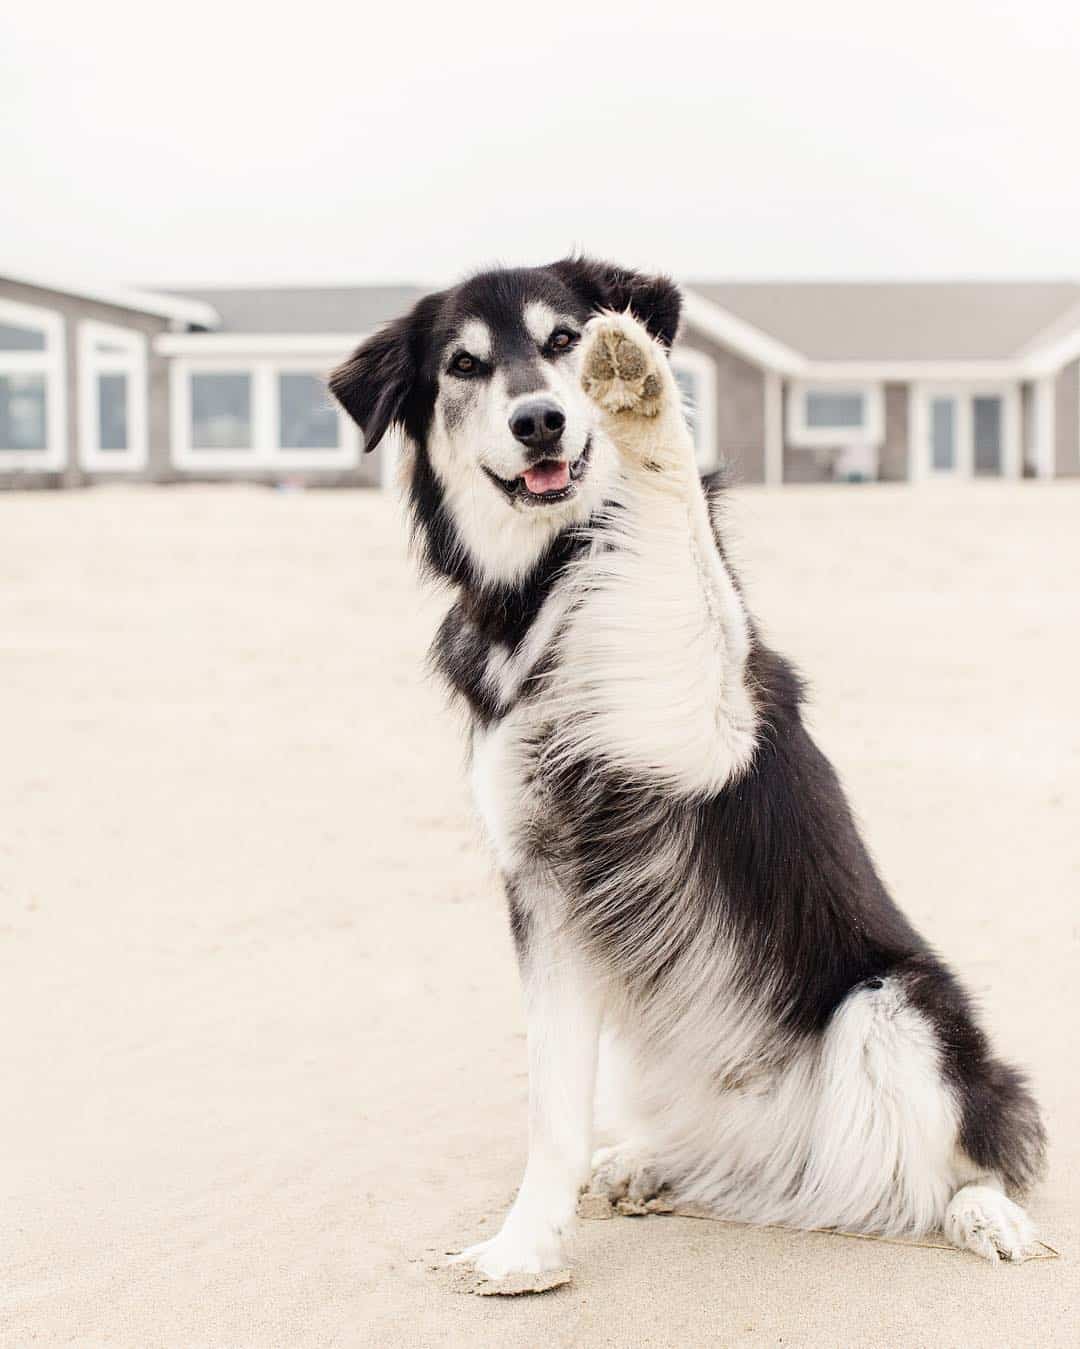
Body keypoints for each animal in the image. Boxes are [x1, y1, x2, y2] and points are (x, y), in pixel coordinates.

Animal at [328, 260, 1046, 1284]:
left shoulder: (710, 721)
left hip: (898, 1007)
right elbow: (550, 1106)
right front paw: (527, 1245)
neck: (545, 582)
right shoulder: (541, 885)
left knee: (961, 1158)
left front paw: (641, 393)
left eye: (562, 341)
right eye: (465, 364)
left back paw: (985, 1212)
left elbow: (676, 543)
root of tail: (786, 1158)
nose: (541, 420)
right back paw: (647, 1165)